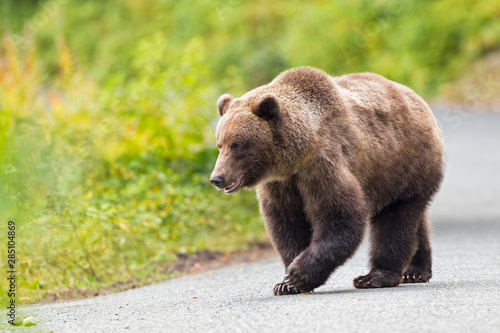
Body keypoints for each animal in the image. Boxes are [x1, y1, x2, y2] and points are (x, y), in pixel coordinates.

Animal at [209, 66, 444, 294]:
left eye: (237, 144)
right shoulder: (281, 185)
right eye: (220, 144)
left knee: (395, 222)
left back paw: (376, 276)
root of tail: (417, 99)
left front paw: (296, 276)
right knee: (414, 220)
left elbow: (340, 216)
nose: (217, 178)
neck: (295, 157)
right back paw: (415, 270)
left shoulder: (322, 166)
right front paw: (285, 282)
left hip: (405, 165)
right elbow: (286, 222)